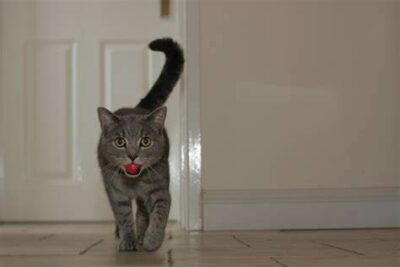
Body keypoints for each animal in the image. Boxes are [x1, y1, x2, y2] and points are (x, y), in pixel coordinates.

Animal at [97, 38, 184, 253]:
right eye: (120, 142)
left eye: (145, 141)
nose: (132, 155)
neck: (134, 183)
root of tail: (139, 107)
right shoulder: (116, 193)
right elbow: (124, 217)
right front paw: (127, 240)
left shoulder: (160, 189)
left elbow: (159, 215)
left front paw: (152, 240)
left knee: (144, 213)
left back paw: (143, 235)